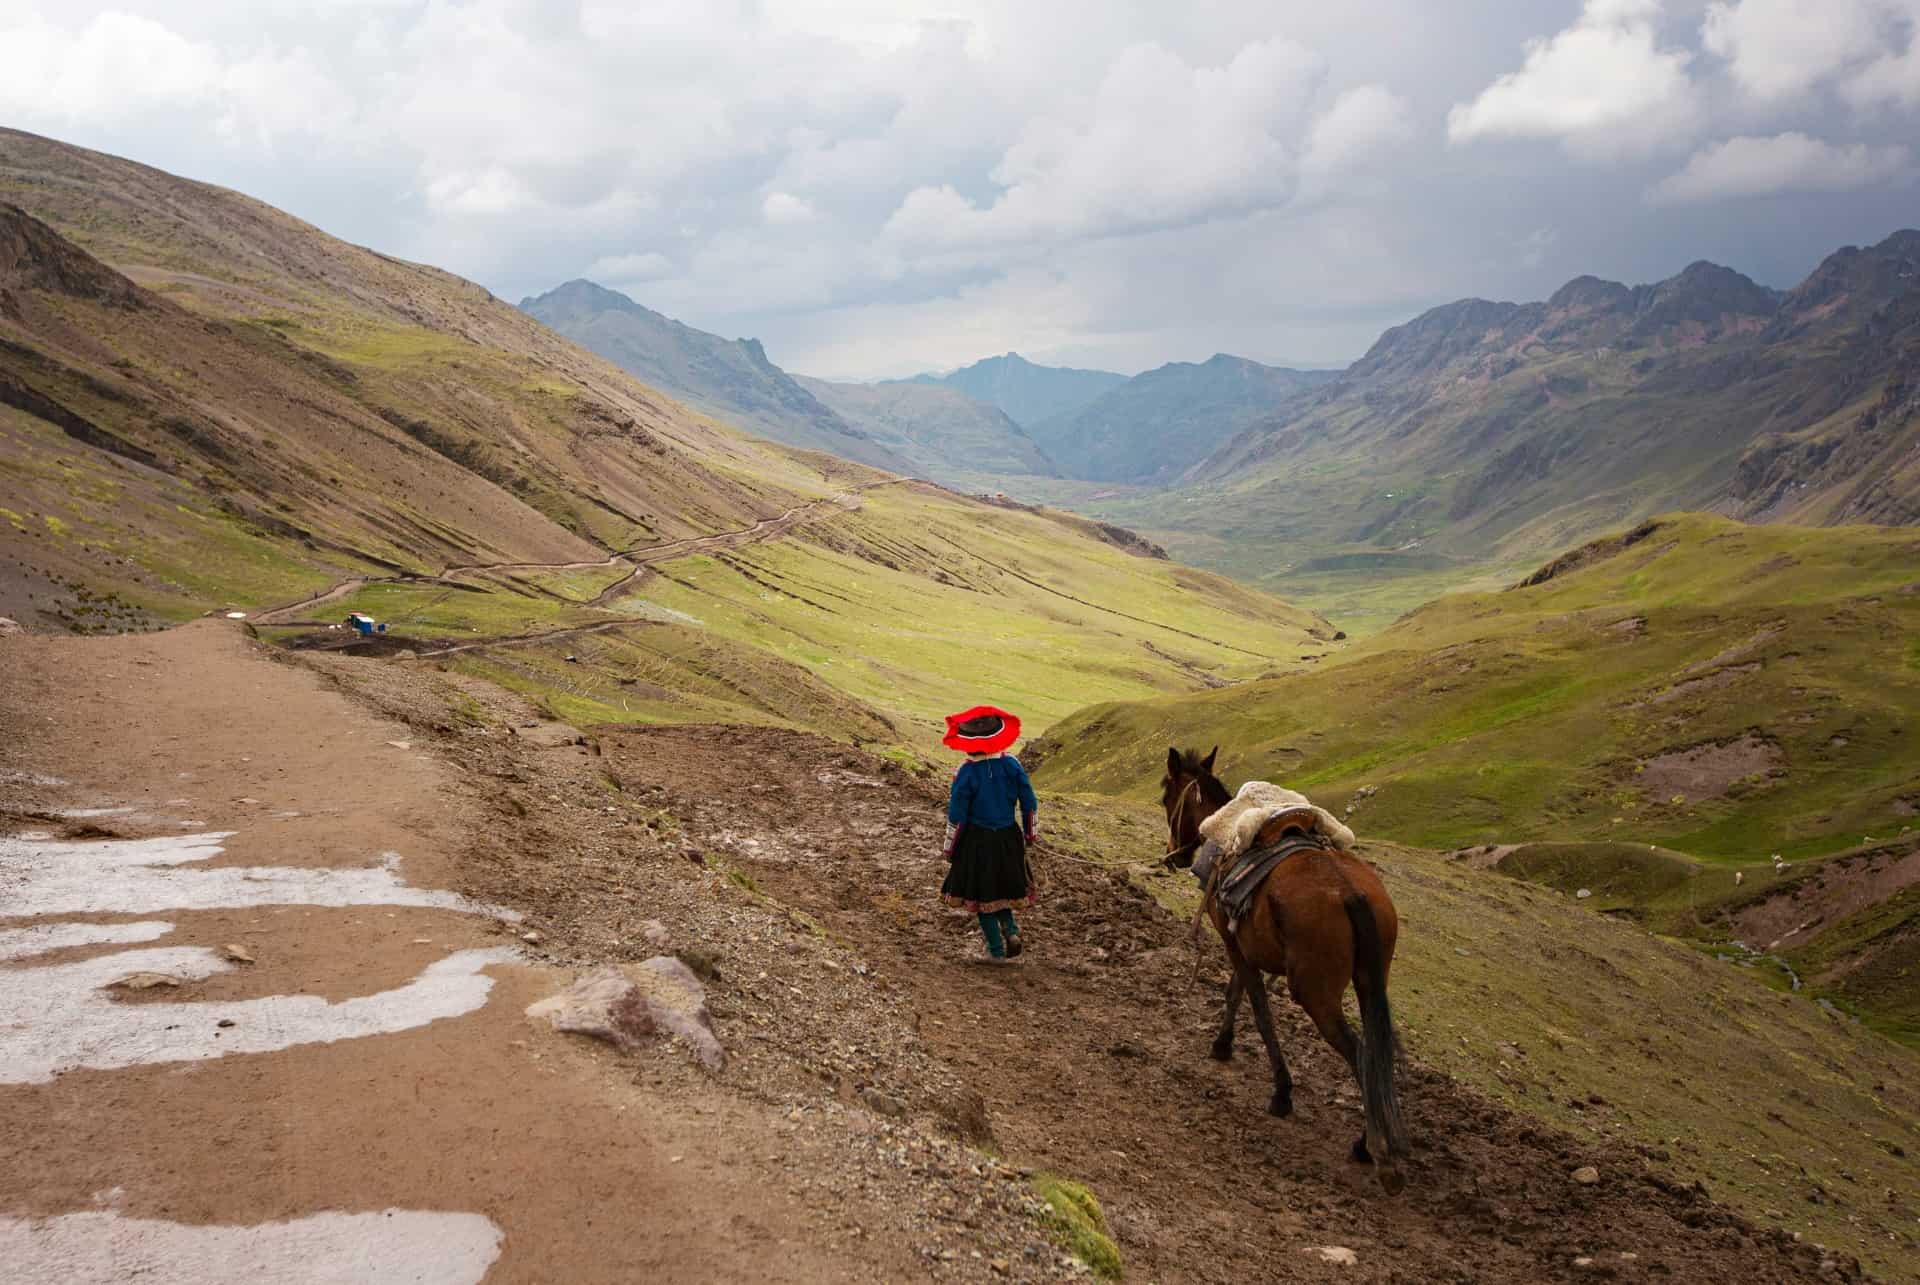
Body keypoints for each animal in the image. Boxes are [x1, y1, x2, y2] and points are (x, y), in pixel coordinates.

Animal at [1152, 741, 1413, 1190]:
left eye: (1167, 797)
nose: (1172, 855)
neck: (1229, 832)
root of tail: (1351, 893)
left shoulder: (1235, 944)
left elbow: (1256, 1007)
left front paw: (1281, 1091)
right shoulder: (1245, 943)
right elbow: (1236, 992)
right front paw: (1223, 1045)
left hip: (1314, 990)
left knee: (1359, 1051)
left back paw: (1371, 1148)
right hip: (1370, 981)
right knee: (1379, 1051)